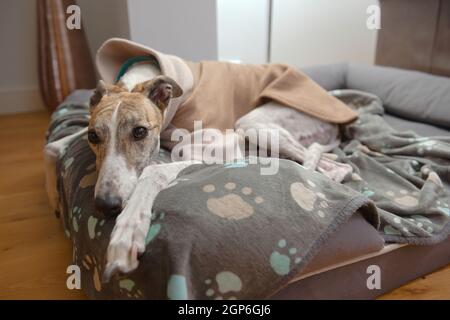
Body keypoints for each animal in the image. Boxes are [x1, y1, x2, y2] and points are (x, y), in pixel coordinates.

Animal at [45, 43, 356, 282]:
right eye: (93, 135)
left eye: (140, 132)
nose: (105, 204)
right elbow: (52, 146)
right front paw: (56, 199)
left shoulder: (219, 140)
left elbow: (164, 162)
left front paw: (127, 233)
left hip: (254, 122)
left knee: (339, 167)